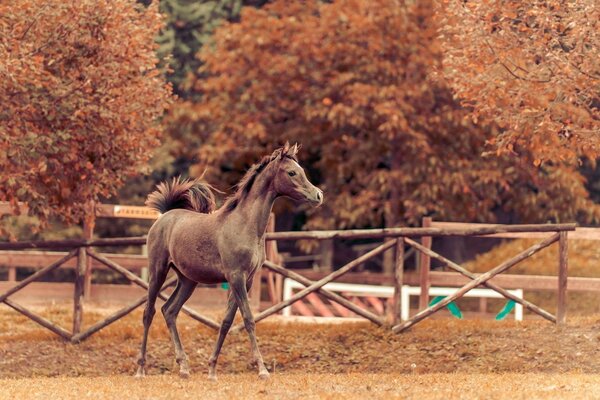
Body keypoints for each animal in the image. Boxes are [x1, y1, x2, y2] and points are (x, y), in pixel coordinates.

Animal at [136, 142, 324, 380]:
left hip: (188, 280)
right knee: (148, 313)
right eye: (292, 173)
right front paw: (262, 370)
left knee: (169, 311)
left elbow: (226, 322)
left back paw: (184, 368)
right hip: (157, 271)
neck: (244, 226)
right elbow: (248, 319)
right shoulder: (236, 277)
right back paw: (140, 370)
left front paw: (212, 370)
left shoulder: (246, 280)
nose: (318, 195)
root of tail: (165, 216)